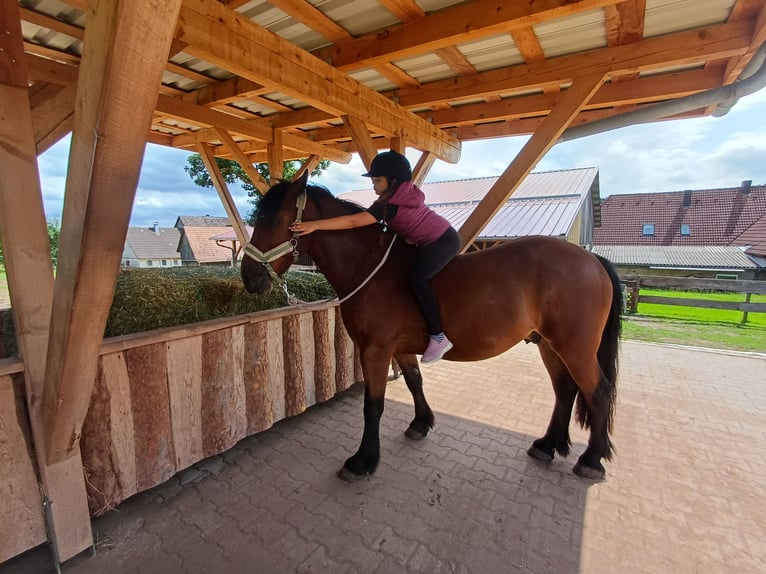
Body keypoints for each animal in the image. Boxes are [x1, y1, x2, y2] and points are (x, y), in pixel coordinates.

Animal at [241, 172, 623, 481]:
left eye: (270, 217)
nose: (249, 277)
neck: (370, 266)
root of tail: (591, 258)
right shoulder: (400, 349)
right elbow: (414, 382)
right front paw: (420, 423)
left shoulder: (375, 350)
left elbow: (373, 406)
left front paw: (362, 461)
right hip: (549, 344)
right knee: (565, 390)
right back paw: (548, 445)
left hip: (575, 347)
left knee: (597, 392)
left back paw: (591, 460)